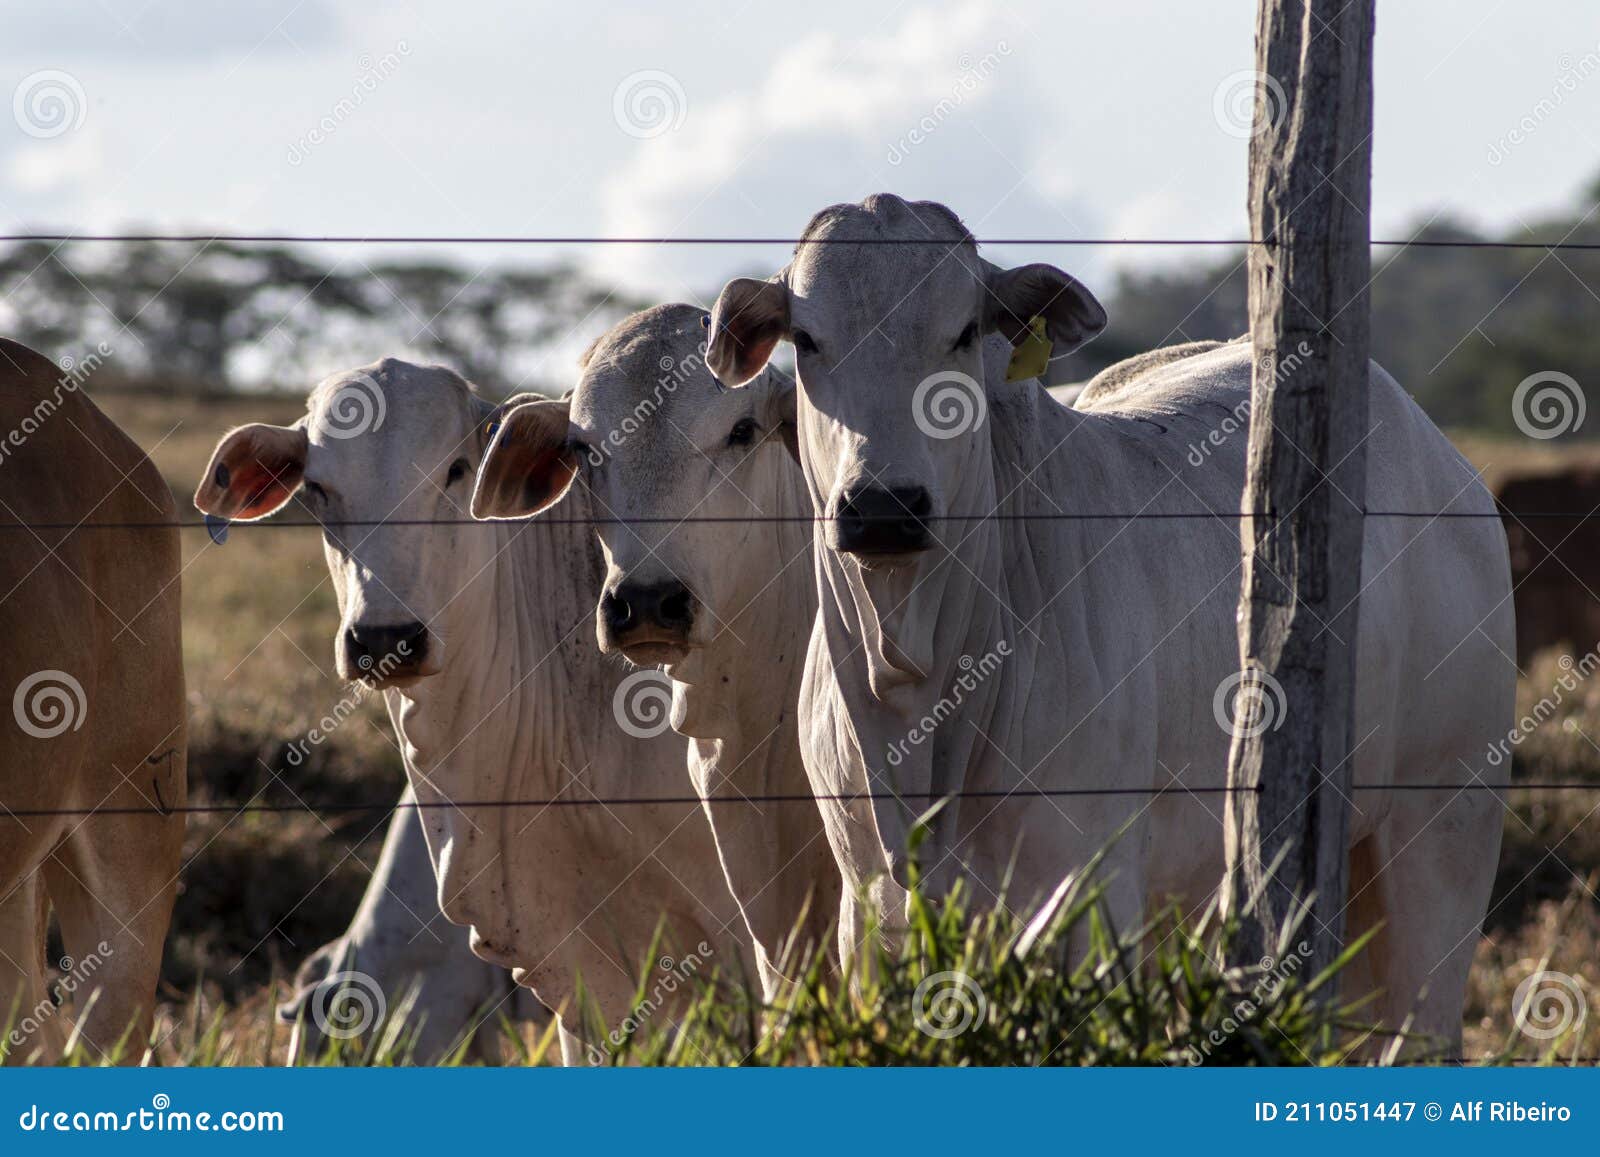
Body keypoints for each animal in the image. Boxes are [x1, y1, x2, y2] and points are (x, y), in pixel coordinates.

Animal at [710, 192, 1510, 1049]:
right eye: (807, 339)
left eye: (963, 331)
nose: (884, 506)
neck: (916, 678)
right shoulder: (868, 906)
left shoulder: (1085, 900)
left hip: (1445, 831)